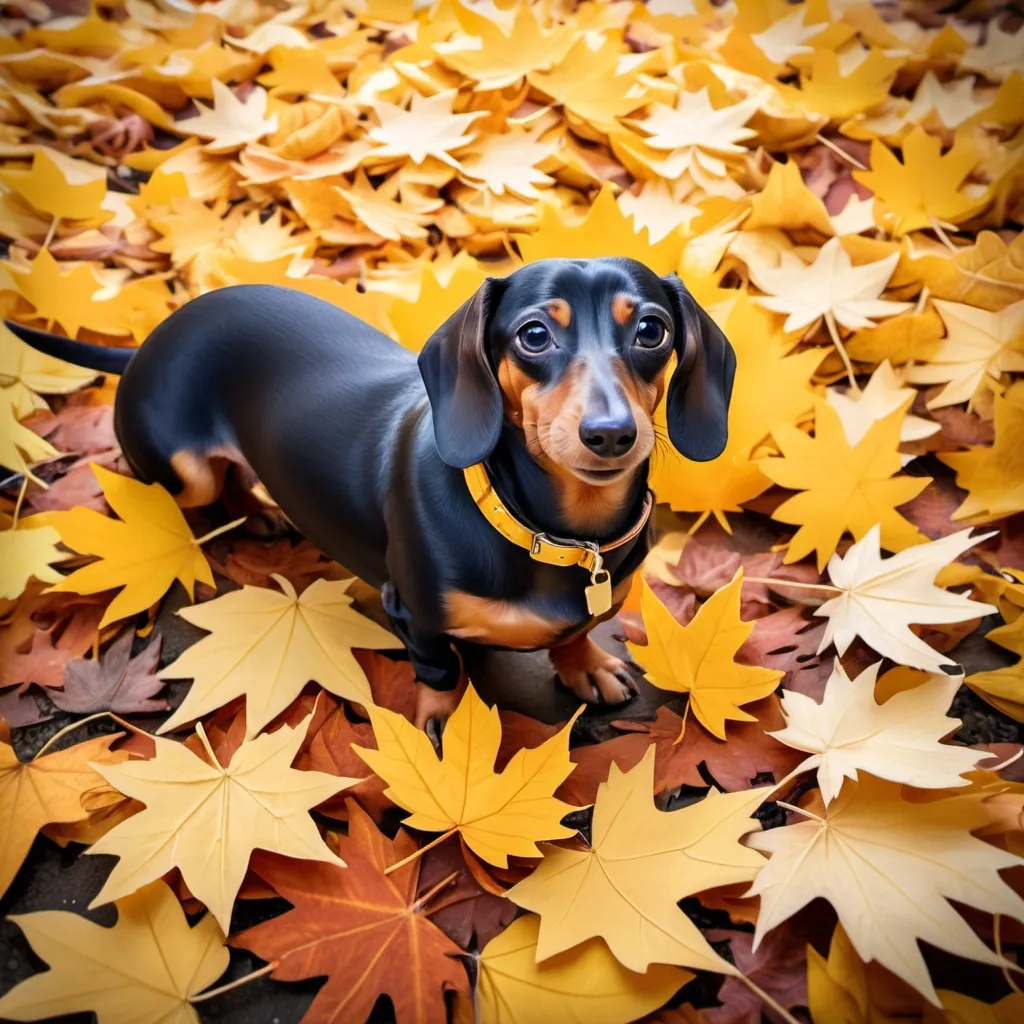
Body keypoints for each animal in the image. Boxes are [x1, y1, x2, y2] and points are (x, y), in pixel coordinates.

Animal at [4, 256, 733, 737]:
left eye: (651, 330)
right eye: (533, 335)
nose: (610, 434)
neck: (551, 529)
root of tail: (149, 341)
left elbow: (577, 632)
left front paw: (587, 666)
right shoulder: (412, 614)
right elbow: (440, 671)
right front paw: (441, 725)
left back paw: (264, 513)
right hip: (182, 470)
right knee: (192, 490)